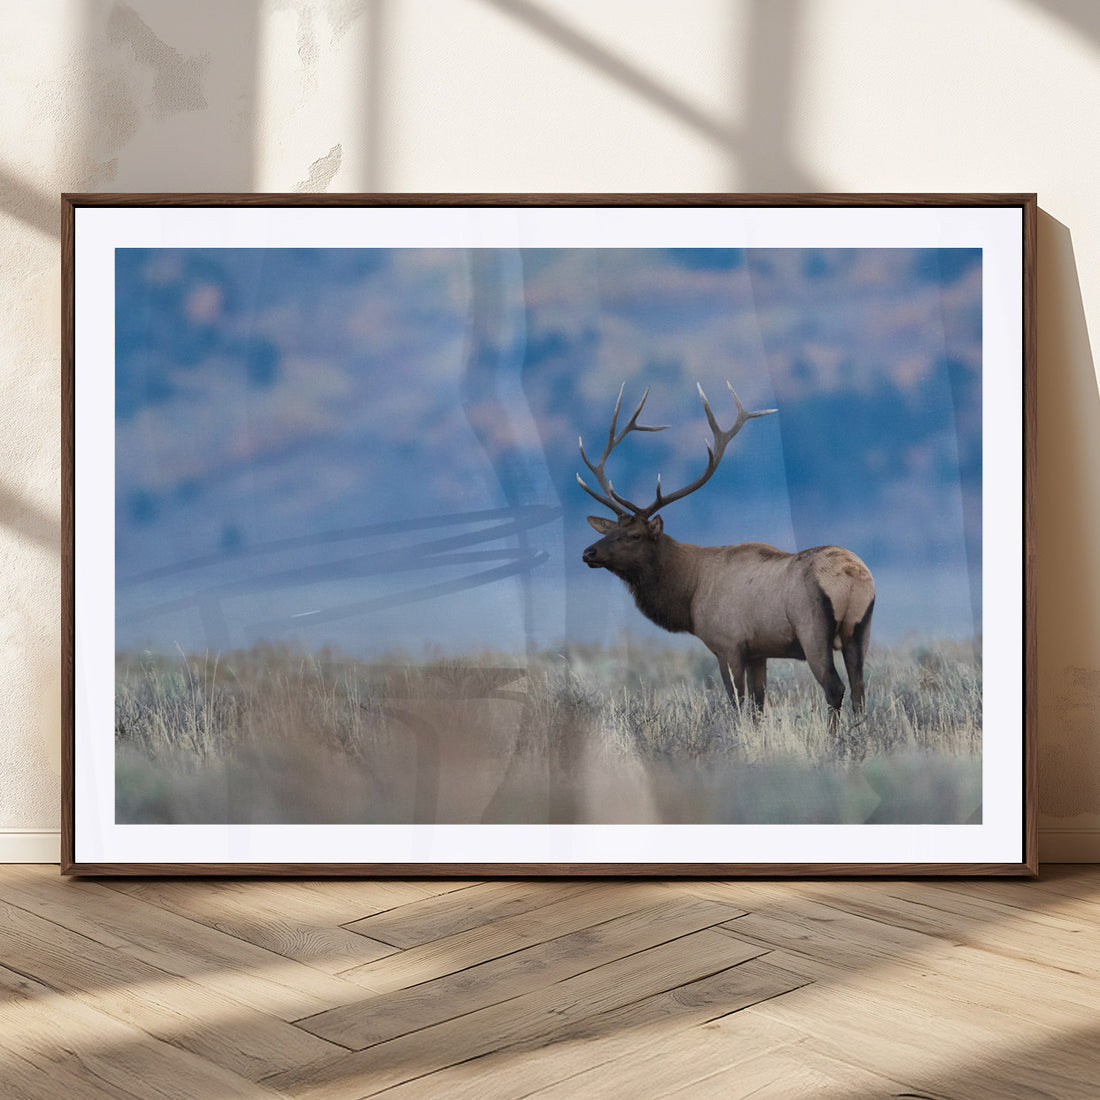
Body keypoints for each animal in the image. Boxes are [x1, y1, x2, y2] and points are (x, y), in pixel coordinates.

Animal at [578, 382, 875, 732]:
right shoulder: (759, 651)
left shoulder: (728, 644)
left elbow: (738, 703)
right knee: (859, 689)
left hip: (813, 628)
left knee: (834, 686)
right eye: (609, 530)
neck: (689, 594)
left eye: (635, 535)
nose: (588, 552)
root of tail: (852, 574)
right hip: (860, 630)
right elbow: (759, 704)